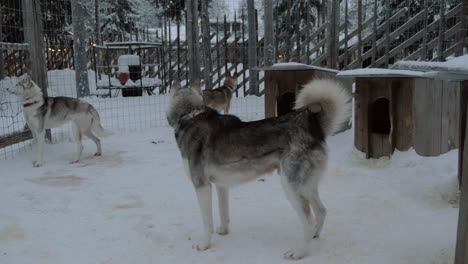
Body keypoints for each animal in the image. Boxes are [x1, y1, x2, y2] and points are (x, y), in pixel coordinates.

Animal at [166, 79, 350, 260]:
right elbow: (223, 213)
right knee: (321, 211)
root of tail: (311, 126)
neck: (189, 114)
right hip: (306, 187)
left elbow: (207, 222)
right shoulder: (221, 185)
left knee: (309, 223)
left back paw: (299, 253)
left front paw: (204, 245)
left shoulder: (202, 186)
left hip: (291, 187)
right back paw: (315, 236)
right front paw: (223, 231)